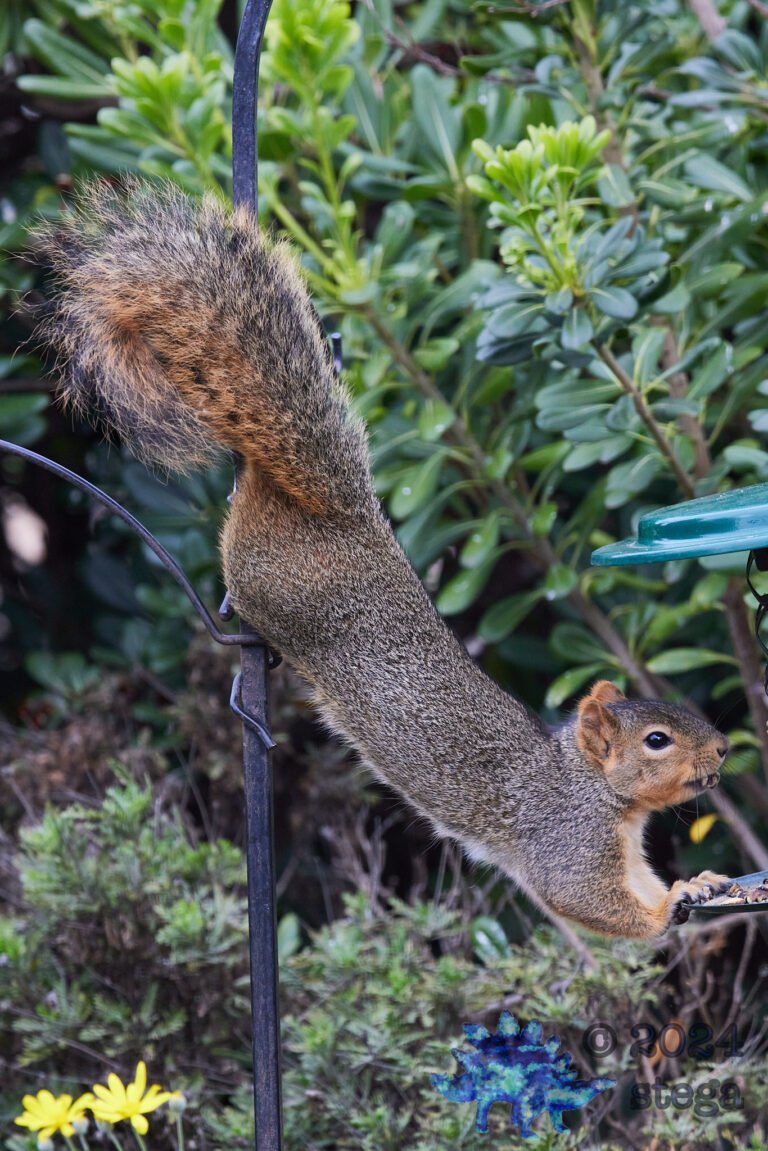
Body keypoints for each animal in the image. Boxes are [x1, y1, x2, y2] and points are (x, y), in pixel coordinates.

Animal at [36, 178, 731, 939]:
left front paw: (699, 880)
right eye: (658, 739)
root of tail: (342, 510)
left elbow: (638, 880)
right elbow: (588, 900)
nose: (724, 749)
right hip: (279, 591)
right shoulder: (566, 838)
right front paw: (671, 904)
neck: (595, 786)